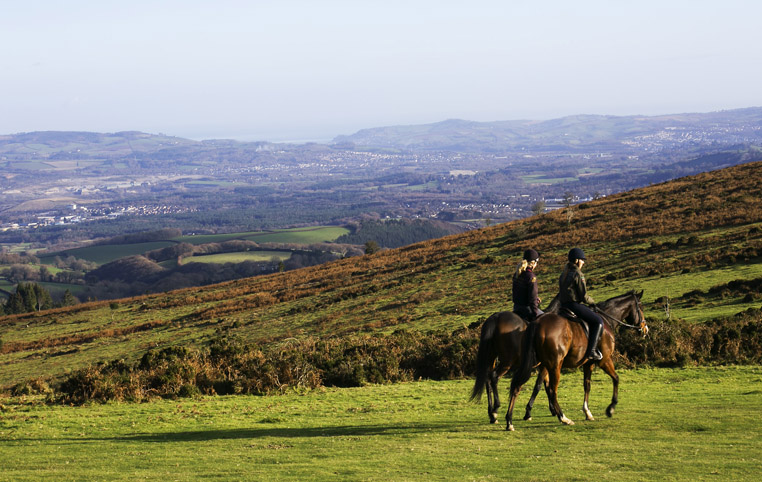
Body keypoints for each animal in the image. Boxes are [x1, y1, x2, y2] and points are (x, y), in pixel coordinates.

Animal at [504, 288, 648, 432]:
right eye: (641, 307)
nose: (645, 329)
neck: (607, 319)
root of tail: (537, 323)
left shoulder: (588, 364)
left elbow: (587, 385)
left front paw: (587, 412)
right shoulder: (605, 360)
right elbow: (616, 379)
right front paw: (610, 409)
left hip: (534, 364)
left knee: (518, 386)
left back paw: (510, 421)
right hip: (554, 365)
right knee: (552, 390)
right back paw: (563, 418)